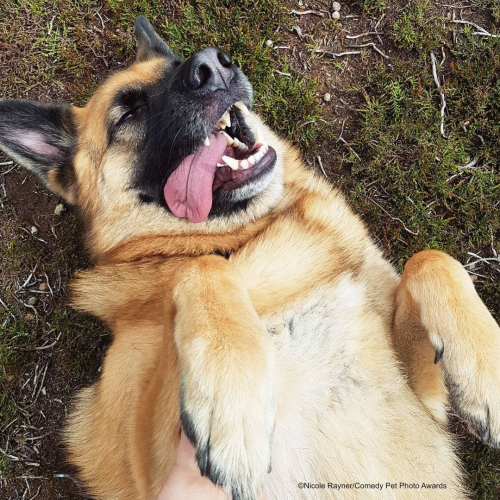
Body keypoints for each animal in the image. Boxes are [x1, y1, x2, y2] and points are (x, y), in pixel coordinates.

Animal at [0, 16, 500, 500]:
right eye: (128, 112)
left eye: (180, 61)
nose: (212, 65)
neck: (254, 233)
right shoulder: (136, 457)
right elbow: (201, 266)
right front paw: (231, 399)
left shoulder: (425, 399)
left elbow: (432, 259)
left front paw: (486, 369)